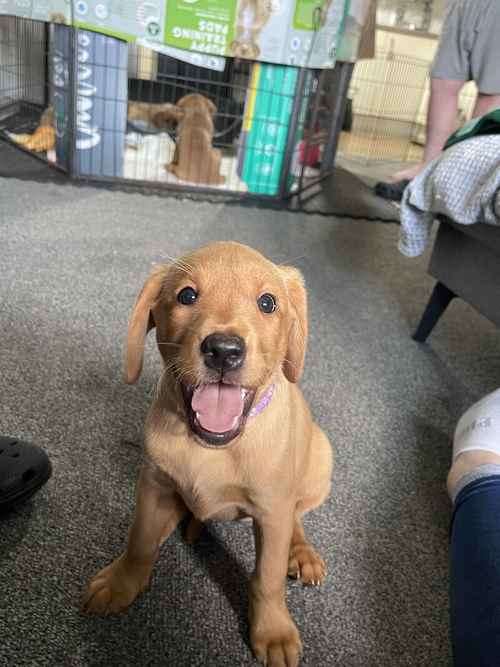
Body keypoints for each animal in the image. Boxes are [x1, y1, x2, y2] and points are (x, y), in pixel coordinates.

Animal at [84, 244, 334, 667]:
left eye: (267, 303)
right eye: (187, 295)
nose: (223, 350)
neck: (214, 448)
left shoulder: (272, 512)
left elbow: (267, 578)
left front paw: (273, 630)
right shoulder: (153, 484)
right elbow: (140, 540)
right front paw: (122, 581)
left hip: (320, 458)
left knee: (297, 515)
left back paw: (301, 552)